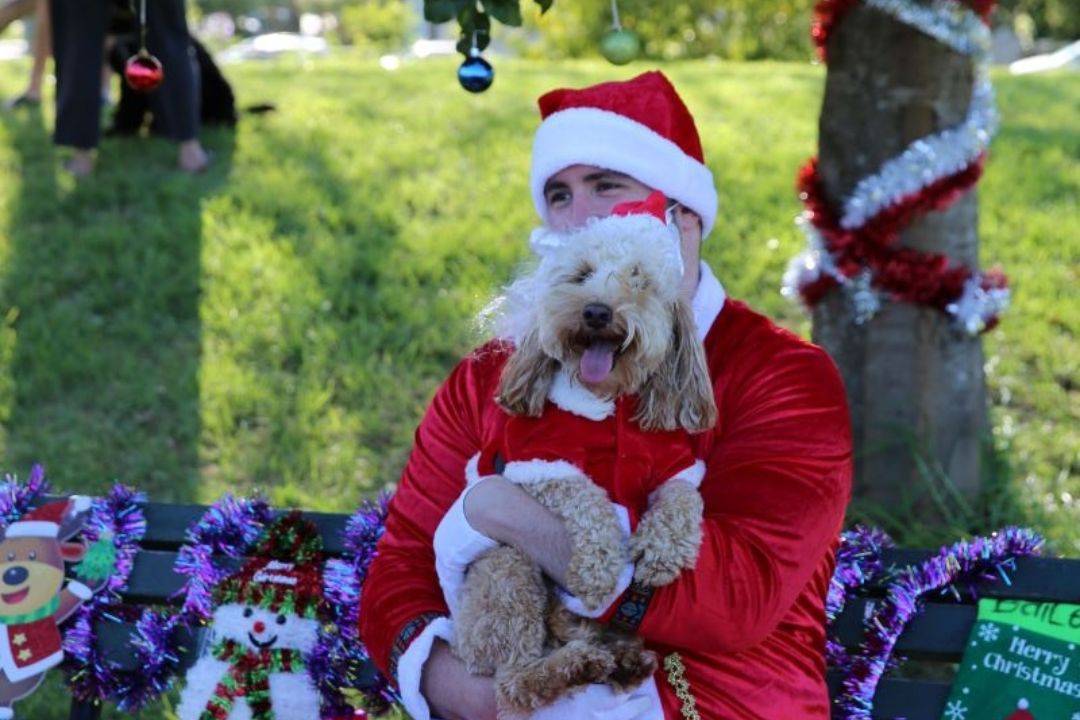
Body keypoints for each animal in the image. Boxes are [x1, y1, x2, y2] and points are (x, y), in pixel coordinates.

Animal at [453, 197, 717, 716]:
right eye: (581, 275)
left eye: (640, 279)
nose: (596, 312)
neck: (609, 400)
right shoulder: (534, 464)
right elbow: (588, 498)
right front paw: (599, 570)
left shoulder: (674, 463)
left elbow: (683, 499)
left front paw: (662, 550)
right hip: (507, 569)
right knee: (512, 684)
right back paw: (574, 665)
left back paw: (618, 658)